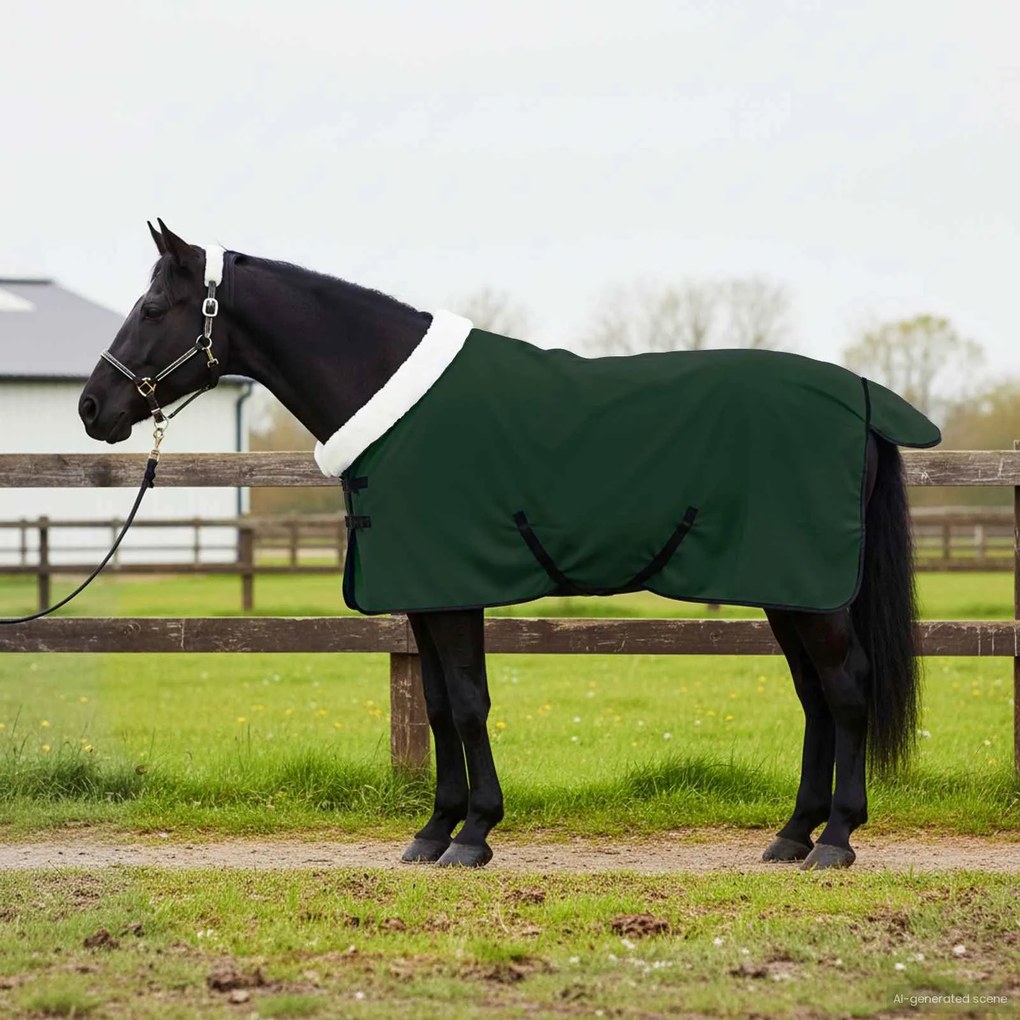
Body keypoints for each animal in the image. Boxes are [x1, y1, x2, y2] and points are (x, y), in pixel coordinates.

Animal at [79, 220, 933, 871]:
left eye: (153, 305)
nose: (92, 406)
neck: (393, 400)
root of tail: (861, 397)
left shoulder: (453, 592)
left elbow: (466, 704)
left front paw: (475, 834)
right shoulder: (424, 596)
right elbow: (435, 708)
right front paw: (434, 831)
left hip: (812, 592)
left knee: (846, 687)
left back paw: (837, 839)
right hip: (789, 588)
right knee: (815, 695)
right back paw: (792, 835)